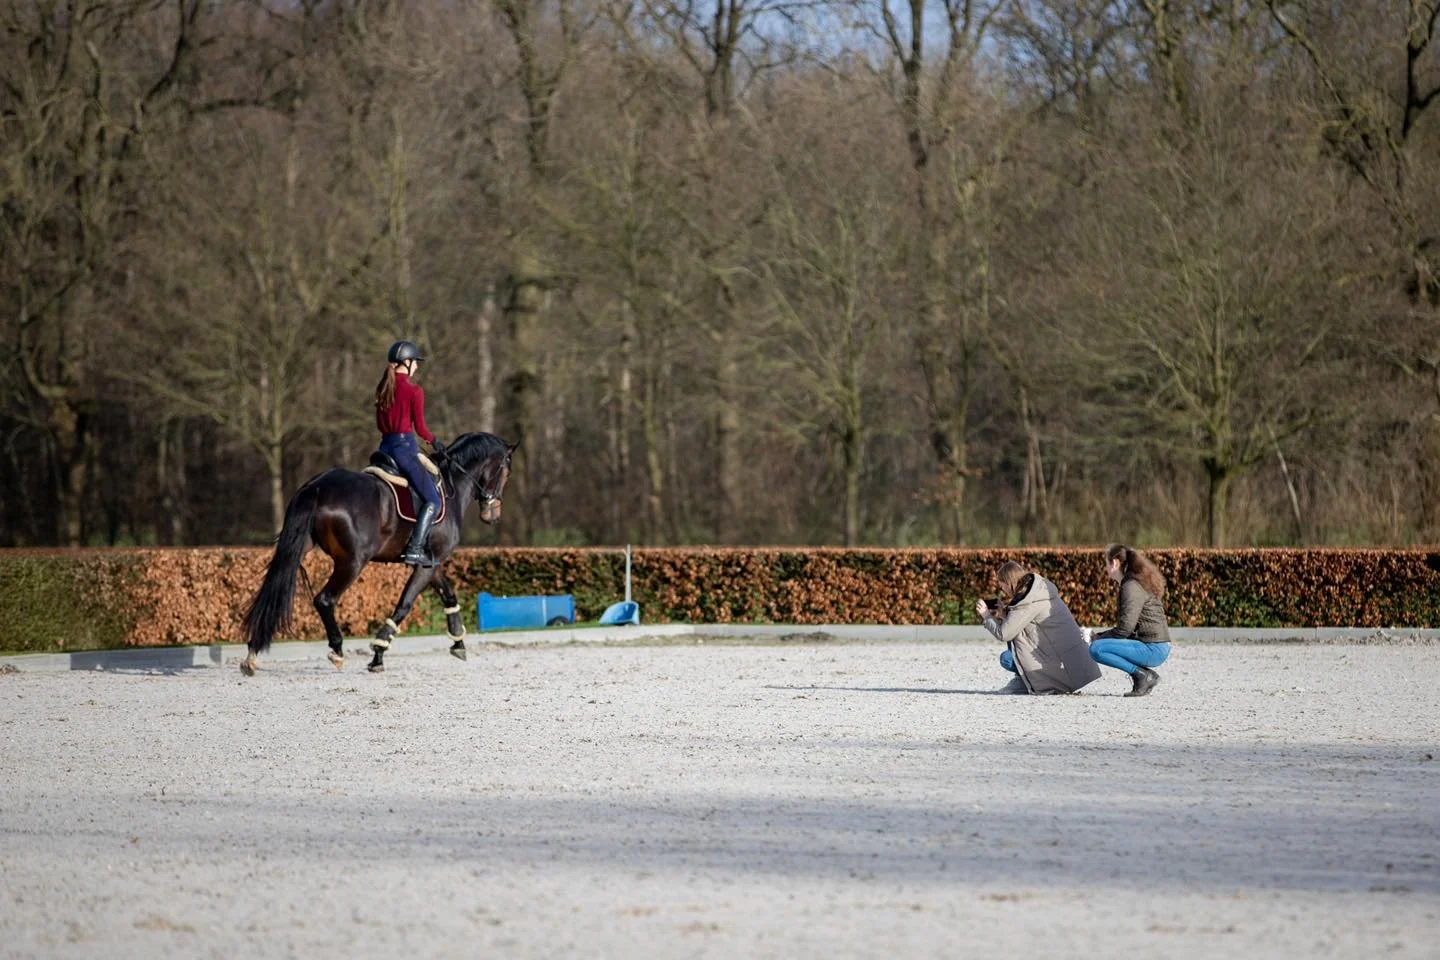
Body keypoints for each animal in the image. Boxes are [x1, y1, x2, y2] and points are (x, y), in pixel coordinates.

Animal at [239, 432, 517, 675]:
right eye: (506, 471)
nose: (492, 515)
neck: (452, 486)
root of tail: (317, 488)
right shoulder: (426, 565)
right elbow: (404, 605)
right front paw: (378, 655)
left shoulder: (431, 563)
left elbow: (448, 595)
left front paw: (458, 641)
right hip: (352, 562)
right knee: (325, 600)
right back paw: (337, 650)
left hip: (299, 548)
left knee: (273, 589)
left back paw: (252, 652)